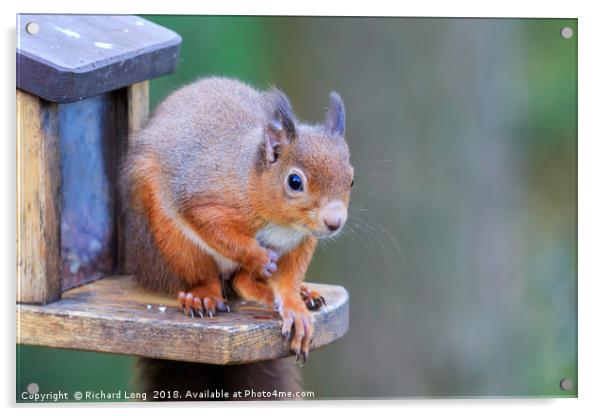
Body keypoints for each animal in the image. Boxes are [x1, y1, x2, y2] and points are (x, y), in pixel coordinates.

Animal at [120, 77, 352, 396]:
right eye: (295, 181)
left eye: (351, 179)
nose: (334, 222)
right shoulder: (207, 201)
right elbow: (216, 229)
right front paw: (259, 257)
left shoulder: (302, 240)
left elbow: (289, 279)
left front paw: (294, 307)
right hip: (169, 238)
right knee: (208, 275)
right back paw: (203, 296)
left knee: (240, 283)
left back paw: (296, 293)